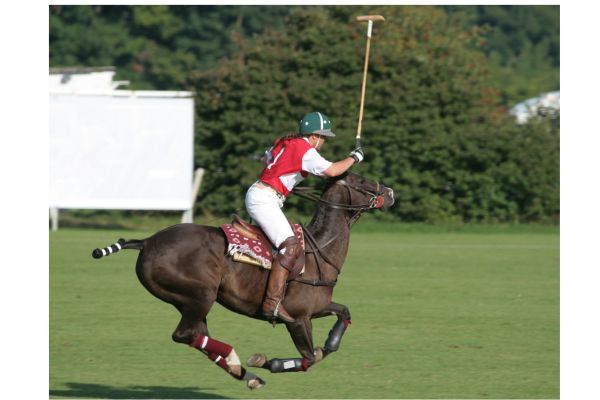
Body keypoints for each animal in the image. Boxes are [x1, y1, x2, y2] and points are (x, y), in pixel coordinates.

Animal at [91, 171, 394, 388]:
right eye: (362, 180)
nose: (390, 193)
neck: (319, 249)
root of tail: (146, 242)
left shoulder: (316, 308)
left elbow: (343, 315)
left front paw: (329, 342)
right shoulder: (297, 318)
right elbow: (309, 357)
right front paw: (268, 361)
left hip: (188, 301)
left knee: (196, 335)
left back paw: (244, 372)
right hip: (201, 295)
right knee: (185, 334)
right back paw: (239, 361)